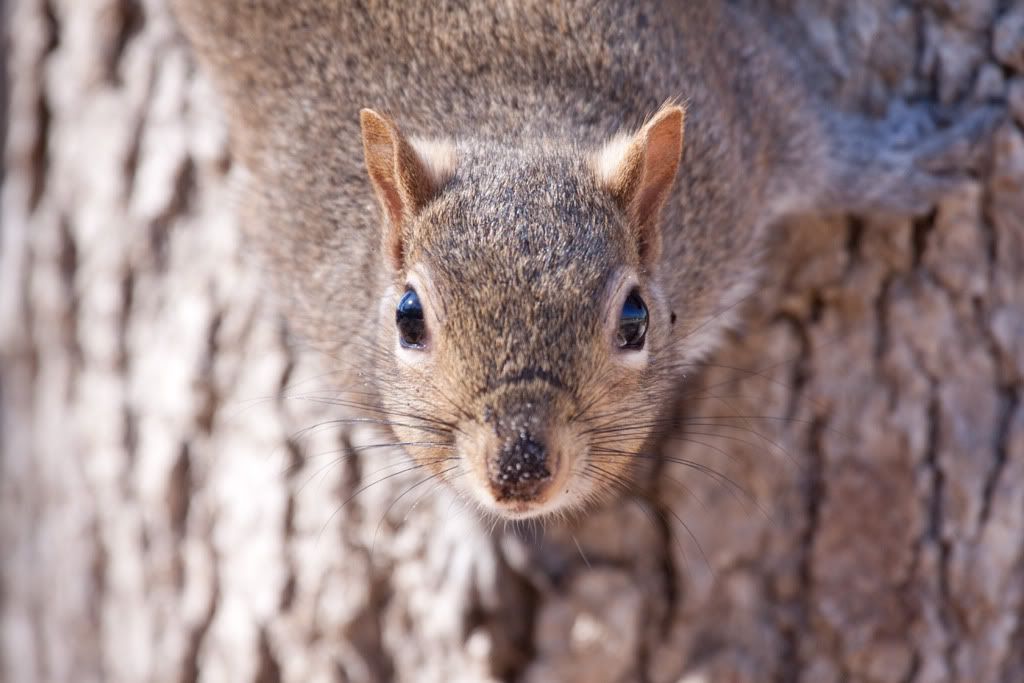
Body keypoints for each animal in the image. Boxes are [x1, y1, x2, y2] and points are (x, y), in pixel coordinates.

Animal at [173, 0, 999, 519]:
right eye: (408, 317)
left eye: (635, 318)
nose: (518, 470)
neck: (513, 114)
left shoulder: (738, 110)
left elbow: (824, 151)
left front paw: (903, 160)